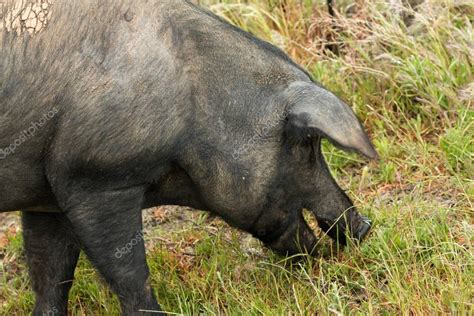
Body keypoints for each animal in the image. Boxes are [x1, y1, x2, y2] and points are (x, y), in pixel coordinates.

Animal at [0, 1, 378, 314]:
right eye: (307, 143)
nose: (365, 226)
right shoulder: (93, 180)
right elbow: (129, 275)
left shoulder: (45, 197)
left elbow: (51, 274)